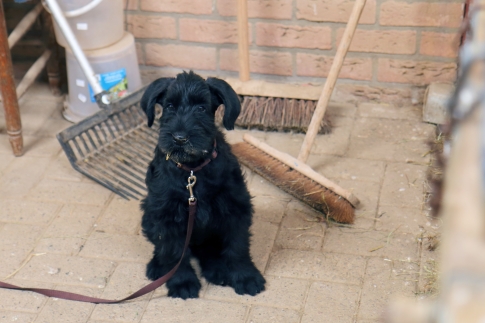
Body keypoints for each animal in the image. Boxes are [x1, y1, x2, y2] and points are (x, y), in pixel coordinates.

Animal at [139, 72, 264, 300]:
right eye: (169, 106)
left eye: (201, 108)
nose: (180, 138)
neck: (192, 171)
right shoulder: (166, 215)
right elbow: (173, 252)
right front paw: (182, 282)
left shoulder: (235, 209)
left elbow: (238, 247)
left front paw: (246, 277)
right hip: (148, 215)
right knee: (162, 248)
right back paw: (157, 267)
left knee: (209, 250)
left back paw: (217, 270)